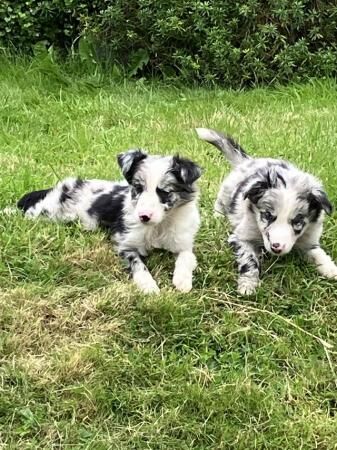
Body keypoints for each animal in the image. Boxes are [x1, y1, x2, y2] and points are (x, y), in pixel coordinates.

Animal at [18, 150, 201, 296]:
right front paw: (148, 286)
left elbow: (187, 257)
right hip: (48, 212)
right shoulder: (125, 243)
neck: (158, 226)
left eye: (164, 192)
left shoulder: (182, 242)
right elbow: (138, 265)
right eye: (138, 188)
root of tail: (61, 187)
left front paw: (183, 281)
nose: (143, 216)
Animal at [194, 126, 336, 296]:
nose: (276, 247)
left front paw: (330, 269)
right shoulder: (241, 237)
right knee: (220, 203)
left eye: (297, 221)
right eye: (267, 215)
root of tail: (248, 160)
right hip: (226, 191)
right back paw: (218, 216)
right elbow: (249, 260)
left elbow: (318, 252)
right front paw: (248, 285)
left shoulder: (309, 238)